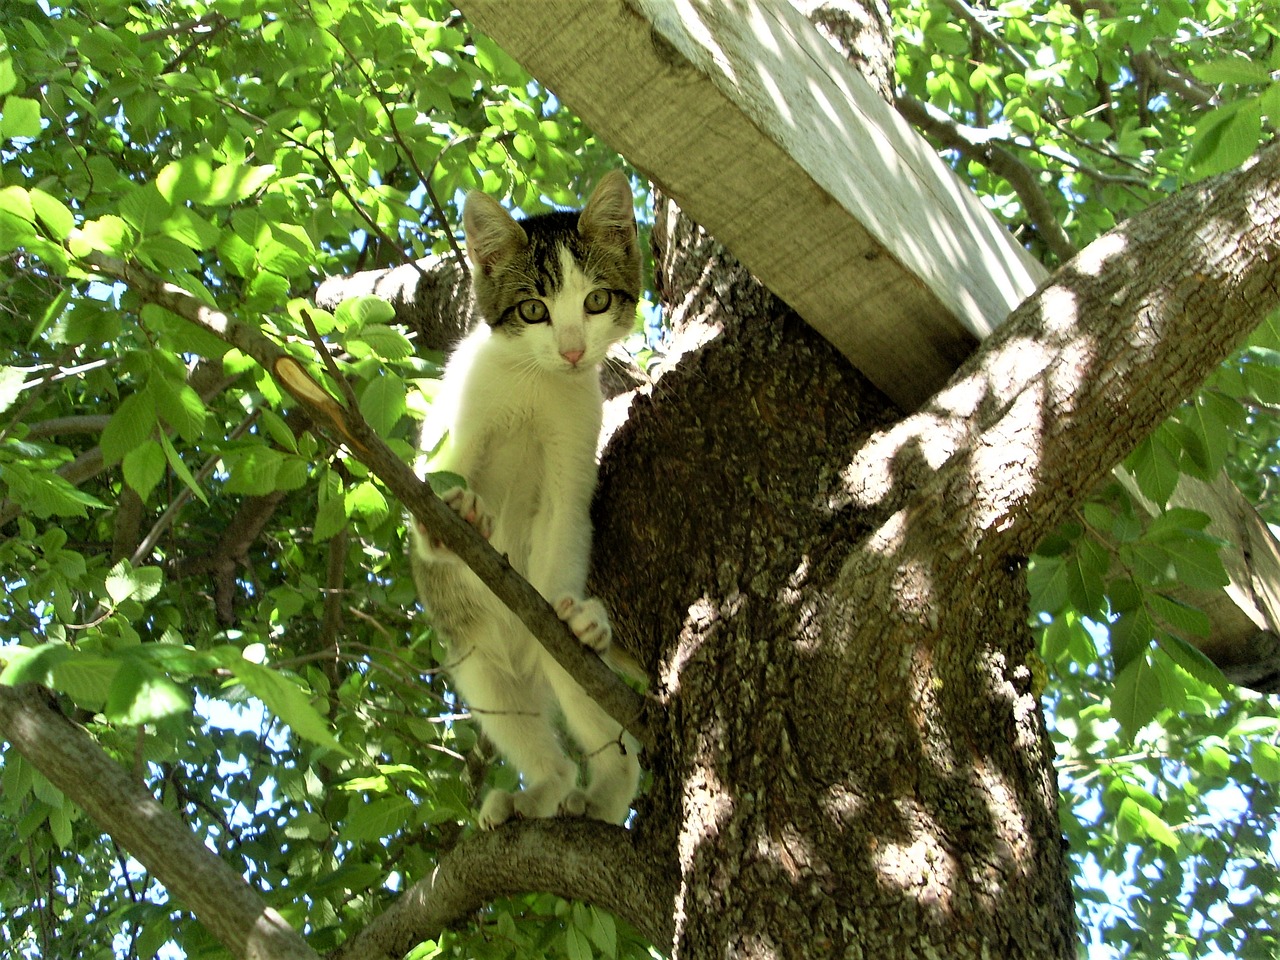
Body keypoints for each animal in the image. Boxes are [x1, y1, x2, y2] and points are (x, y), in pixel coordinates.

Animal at [409, 168, 645, 829]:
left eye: (596, 301)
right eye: (534, 310)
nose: (571, 350)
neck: (537, 383)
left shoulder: (572, 454)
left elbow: (566, 520)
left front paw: (578, 614)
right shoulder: (456, 420)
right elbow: (435, 476)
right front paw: (451, 518)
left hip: (567, 672)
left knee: (613, 742)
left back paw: (600, 794)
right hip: (476, 664)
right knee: (525, 727)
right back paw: (536, 790)